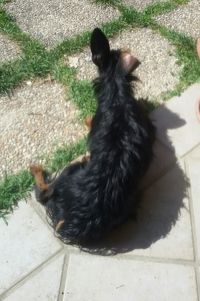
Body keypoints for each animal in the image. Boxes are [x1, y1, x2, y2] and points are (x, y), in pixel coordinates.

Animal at [30, 27, 155, 244]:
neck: (116, 91)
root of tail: (75, 223)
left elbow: (89, 121)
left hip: (69, 172)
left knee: (44, 192)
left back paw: (36, 169)